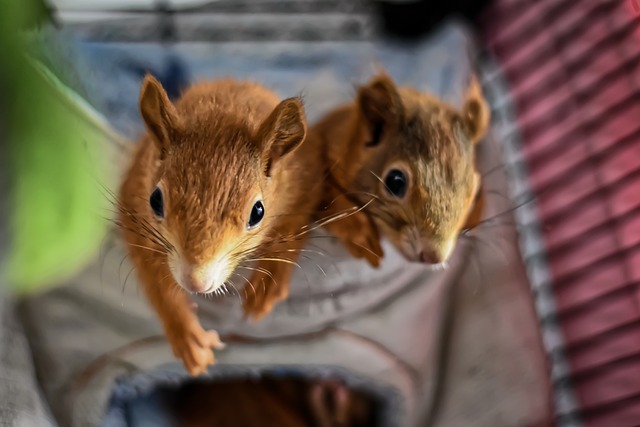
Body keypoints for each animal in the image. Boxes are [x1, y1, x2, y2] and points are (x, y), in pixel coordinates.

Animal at [118, 75, 324, 376]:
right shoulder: (134, 203)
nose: (196, 282)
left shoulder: (305, 181)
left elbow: (292, 231)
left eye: (258, 212)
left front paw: (267, 285)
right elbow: (156, 281)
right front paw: (188, 338)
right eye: (155, 200)